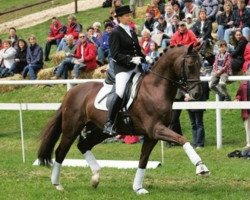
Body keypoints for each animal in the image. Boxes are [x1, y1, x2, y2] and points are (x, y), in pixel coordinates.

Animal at [37, 43, 209, 194]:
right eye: (190, 65)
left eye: (201, 64)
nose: (197, 94)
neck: (155, 88)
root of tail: (71, 92)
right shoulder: (156, 129)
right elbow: (182, 139)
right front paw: (201, 167)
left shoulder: (151, 135)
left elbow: (143, 160)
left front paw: (138, 188)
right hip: (71, 128)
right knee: (60, 152)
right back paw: (57, 185)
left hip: (101, 131)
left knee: (83, 146)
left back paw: (95, 177)